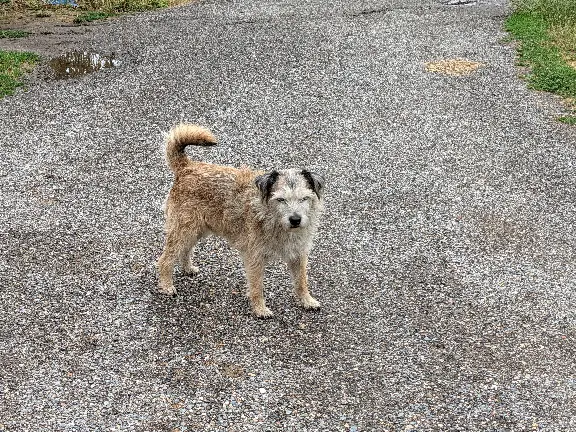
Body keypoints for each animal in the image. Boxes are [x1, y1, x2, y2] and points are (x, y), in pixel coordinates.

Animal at [158, 123, 326, 316]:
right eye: (281, 199)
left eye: (304, 198)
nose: (295, 219)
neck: (274, 219)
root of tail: (186, 167)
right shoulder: (255, 257)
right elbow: (257, 286)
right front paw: (259, 308)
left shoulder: (299, 254)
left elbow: (301, 281)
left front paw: (306, 300)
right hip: (184, 229)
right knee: (165, 259)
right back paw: (166, 284)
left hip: (196, 229)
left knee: (185, 249)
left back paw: (187, 268)